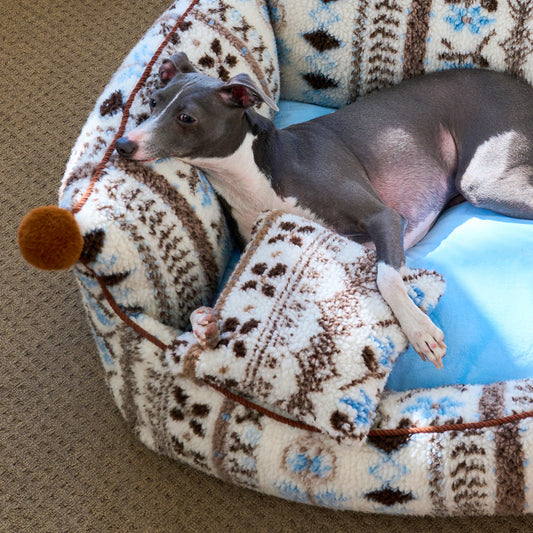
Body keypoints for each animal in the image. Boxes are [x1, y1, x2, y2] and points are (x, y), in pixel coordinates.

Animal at [116, 52, 533, 369]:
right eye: (153, 102)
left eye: (187, 118)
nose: (122, 145)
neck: (257, 170)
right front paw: (204, 325)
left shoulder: (384, 218)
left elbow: (386, 277)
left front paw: (418, 329)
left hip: (485, 181)